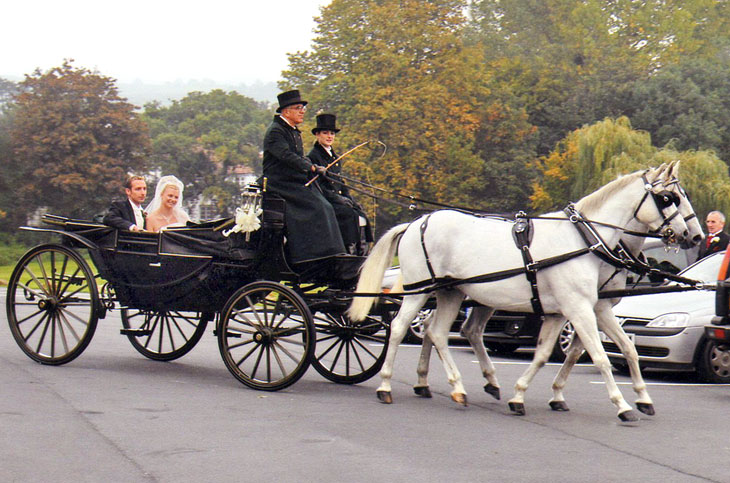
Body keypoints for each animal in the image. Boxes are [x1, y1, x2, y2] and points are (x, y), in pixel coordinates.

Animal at [350, 164, 696, 422]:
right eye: (668, 198)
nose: (692, 235)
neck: (585, 241)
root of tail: (417, 222)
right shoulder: (579, 308)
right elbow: (598, 356)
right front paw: (622, 404)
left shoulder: (586, 309)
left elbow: (615, 349)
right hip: (420, 290)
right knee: (399, 328)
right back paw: (386, 385)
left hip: (451, 293)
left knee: (438, 332)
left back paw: (455, 386)